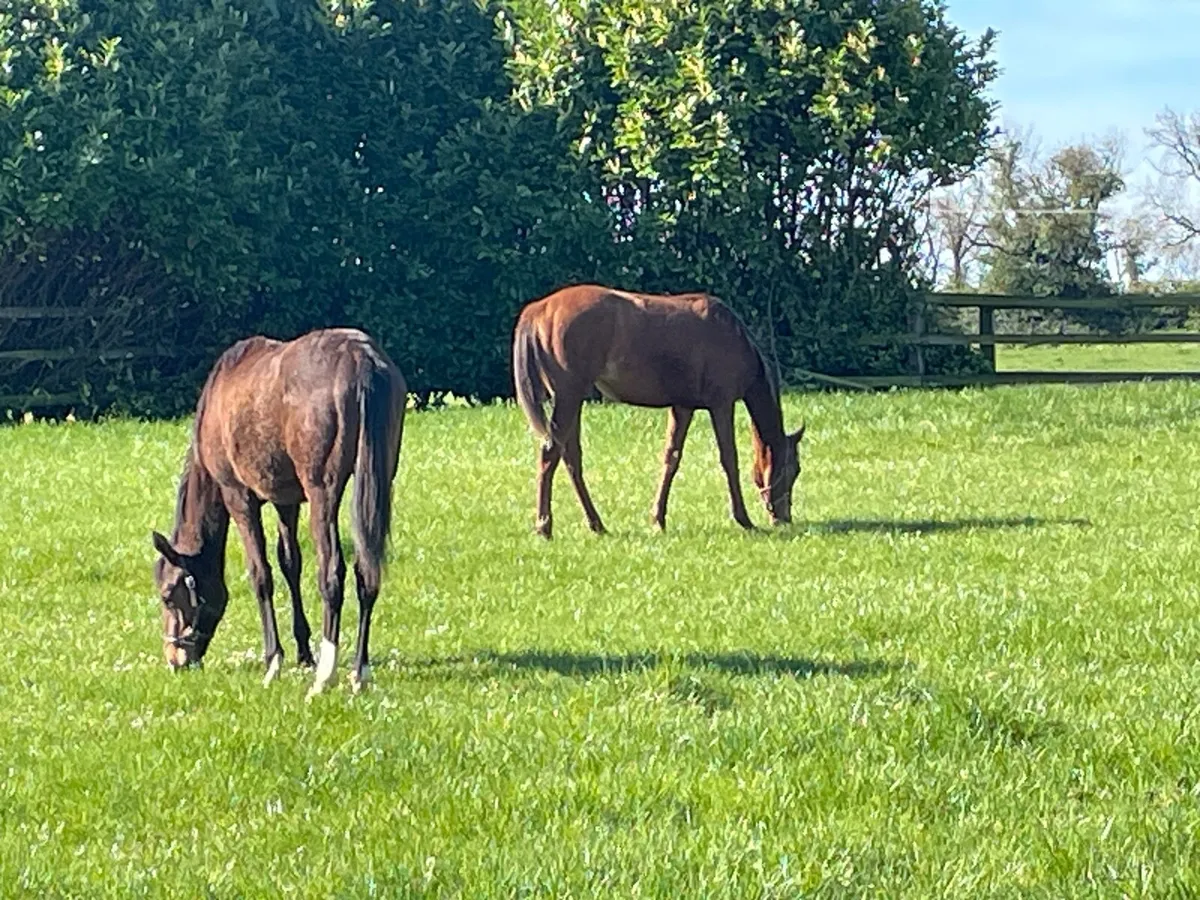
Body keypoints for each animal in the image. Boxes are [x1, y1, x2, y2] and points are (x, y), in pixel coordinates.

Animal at [150, 327, 406, 698]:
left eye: (168, 595)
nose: (174, 659)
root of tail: (361, 360)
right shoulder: (287, 501)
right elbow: (290, 563)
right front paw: (303, 652)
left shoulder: (239, 497)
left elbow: (261, 575)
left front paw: (274, 661)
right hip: (380, 478)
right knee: (366, 571)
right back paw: (359, 670)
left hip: (322, 492)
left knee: (332, 573)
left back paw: (325, 675)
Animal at [511, 284, 805, 538]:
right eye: (794, 469)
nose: (783, 518)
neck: (731, 335)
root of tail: (539, 308)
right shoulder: (722, 404)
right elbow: (729, 459)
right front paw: (743, 519)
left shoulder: (683, 407)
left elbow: (671, 458)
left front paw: (658, 519)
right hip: (568, 397)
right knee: (550, 453)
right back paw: (544, 526)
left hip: (571, 401)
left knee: (570, 457)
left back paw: (596, 524)